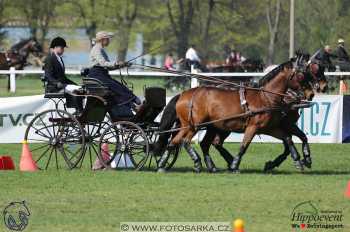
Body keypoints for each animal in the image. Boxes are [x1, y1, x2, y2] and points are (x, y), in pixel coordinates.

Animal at [156, 59, 308, 173]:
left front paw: (298, 160)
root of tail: (184, 94)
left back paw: (164, 165)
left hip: (201, 126)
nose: (306, 94)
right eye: (301, 75)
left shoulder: (269, 128)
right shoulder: (253, 127)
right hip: (194, 126)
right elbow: (244, 145)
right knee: (185, 141)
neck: (265, 97)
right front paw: (235, 165)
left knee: (177, 141)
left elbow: (287, 138)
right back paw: (197, 163)